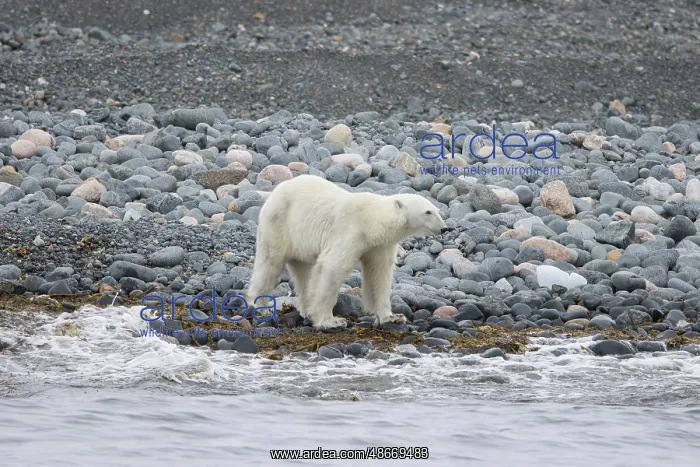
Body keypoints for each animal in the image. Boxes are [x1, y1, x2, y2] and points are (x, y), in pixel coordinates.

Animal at [245, 174, 447, 330]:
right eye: (428, 212)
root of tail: (274, 193)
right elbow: (332, 268)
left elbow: (379, 275)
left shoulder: (379, 245)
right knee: (270, 264)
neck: (372, 222)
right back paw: (260, 306)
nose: (444, 228)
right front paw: (330, 321)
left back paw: (305, 309)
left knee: (304, 272)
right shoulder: (351, 233)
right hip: (279, 224)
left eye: (437, 210)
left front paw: (392, 317)